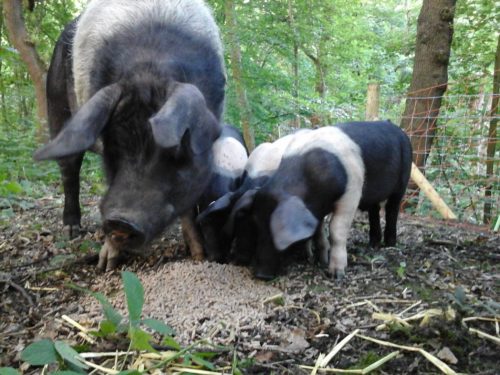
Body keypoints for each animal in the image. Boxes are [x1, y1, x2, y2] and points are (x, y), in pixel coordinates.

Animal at [32, 0, 225, 270]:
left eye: (176, 150)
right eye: (112, 146)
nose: (121, 220)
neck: (149, 66)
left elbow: (188, 206)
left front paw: (199, 256)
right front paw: (106, 265)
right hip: (57, 104)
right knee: (69, 169)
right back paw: (72, 231)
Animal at [229, 122, 412, 280]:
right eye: (257, 226)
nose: (261, 275)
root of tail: (397, 128)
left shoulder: (352, 193)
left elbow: (336, 231)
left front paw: (336, 274)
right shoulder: (313, 210)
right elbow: (318, 232)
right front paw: (321, 260)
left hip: (403, 179)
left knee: (392, 209)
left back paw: (389, 244)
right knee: (374, 210)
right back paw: (373, 244)